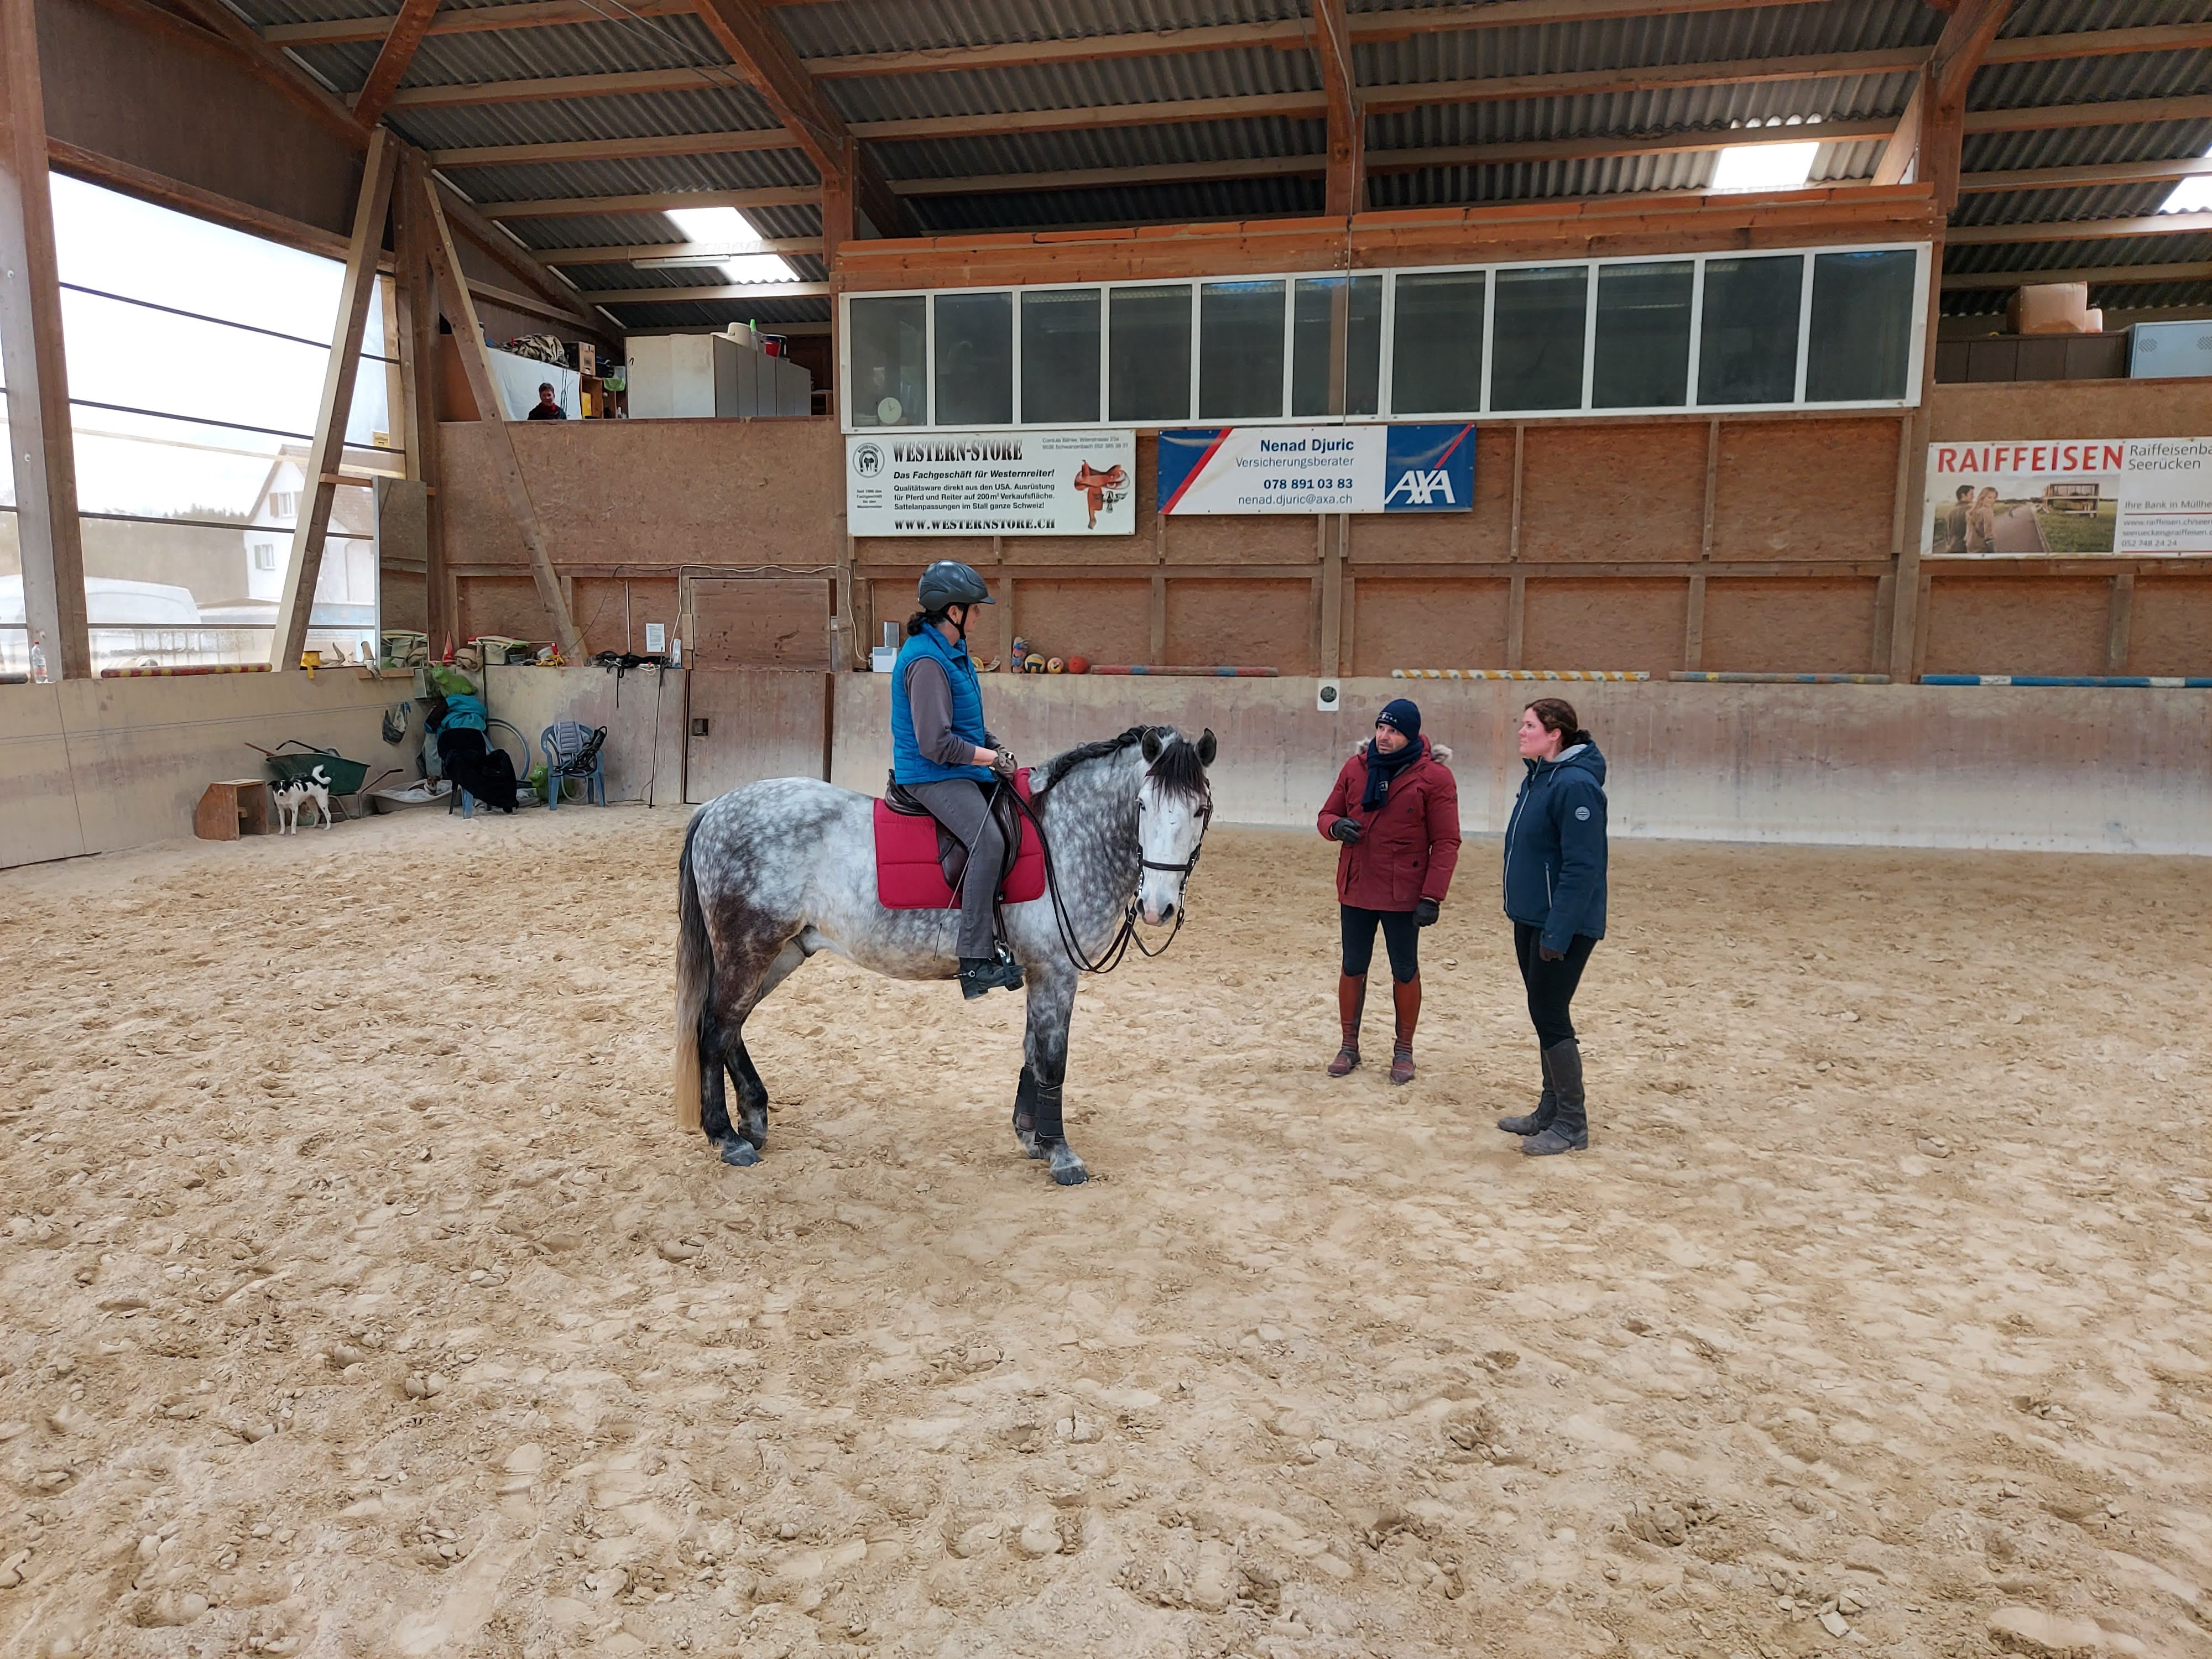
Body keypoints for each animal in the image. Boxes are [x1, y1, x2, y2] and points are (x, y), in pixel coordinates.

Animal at [675, 725, 1216, 1187]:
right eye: (1142, 805)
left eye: (1200, 810)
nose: (1157, 906)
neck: (1064, 835)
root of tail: (715, 808)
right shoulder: (1055, 971)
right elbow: (1052, 1061)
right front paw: (1061, 1153)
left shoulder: (1041, 971)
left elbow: (1031, 1051)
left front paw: (1032, 1136)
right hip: (750, 947)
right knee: (716, 1028)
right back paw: (726, 1137)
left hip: (781, 951)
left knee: (731, 1026)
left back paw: (754, 1117)